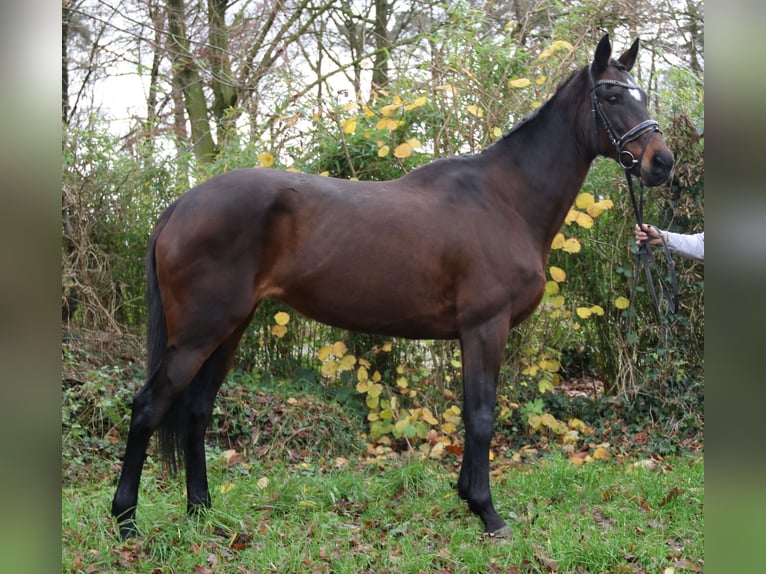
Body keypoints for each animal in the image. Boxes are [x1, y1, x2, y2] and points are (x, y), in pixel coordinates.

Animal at [111, 35, 676, 540]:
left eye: (644, 94)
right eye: (611, 96)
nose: (661, 162)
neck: (504, 199)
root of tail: (181, 206)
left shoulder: (472, 335)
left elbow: (471, 416)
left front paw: (468, 500)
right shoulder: (485, 328)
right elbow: (481, 417)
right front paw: (488, 514)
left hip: (229, 329)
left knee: (196, 412)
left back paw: (202, 515)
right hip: (199, 334)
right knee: (148, 408)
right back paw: (126, 522)